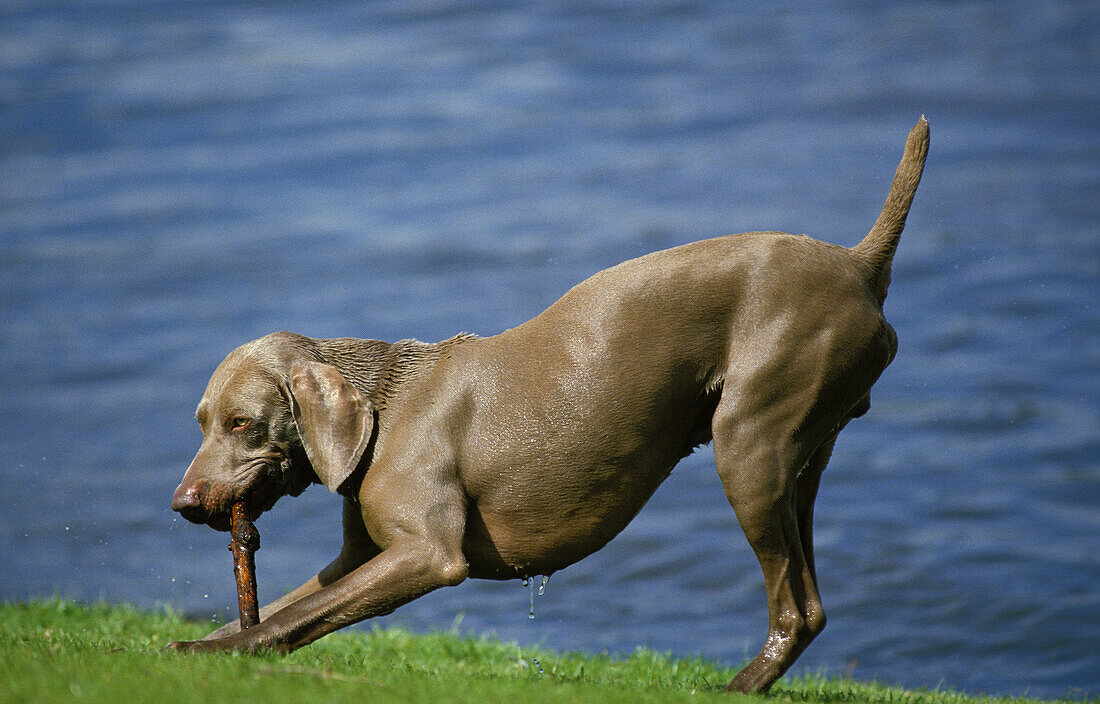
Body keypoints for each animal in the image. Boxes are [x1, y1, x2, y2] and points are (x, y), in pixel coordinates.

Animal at [169, 116, 928, 695]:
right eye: (202, 423)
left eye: (242, 423)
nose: (182, 502)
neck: (382, 409)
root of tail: (857, 264)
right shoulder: (360, 556)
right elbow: (297, 605)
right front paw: (193, 645)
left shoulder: (429, 554)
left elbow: (291, 618)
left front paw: (221, 653)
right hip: (798, 454)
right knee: (811, 600)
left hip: (750, 442)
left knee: (794, 606)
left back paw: (736, 688)